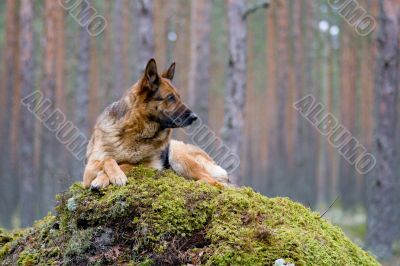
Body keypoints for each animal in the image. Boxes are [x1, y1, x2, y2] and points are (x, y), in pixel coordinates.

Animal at [82, 59, 228, 190]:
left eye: (178, 97)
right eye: (170, 98)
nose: (194, 117)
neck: (134, 132)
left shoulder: (148, 165)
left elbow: (127, 164)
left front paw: (111, 177)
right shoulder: (89, 168)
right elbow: (107, 159)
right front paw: (111, 176)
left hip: (178, 155)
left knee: (215, 182)